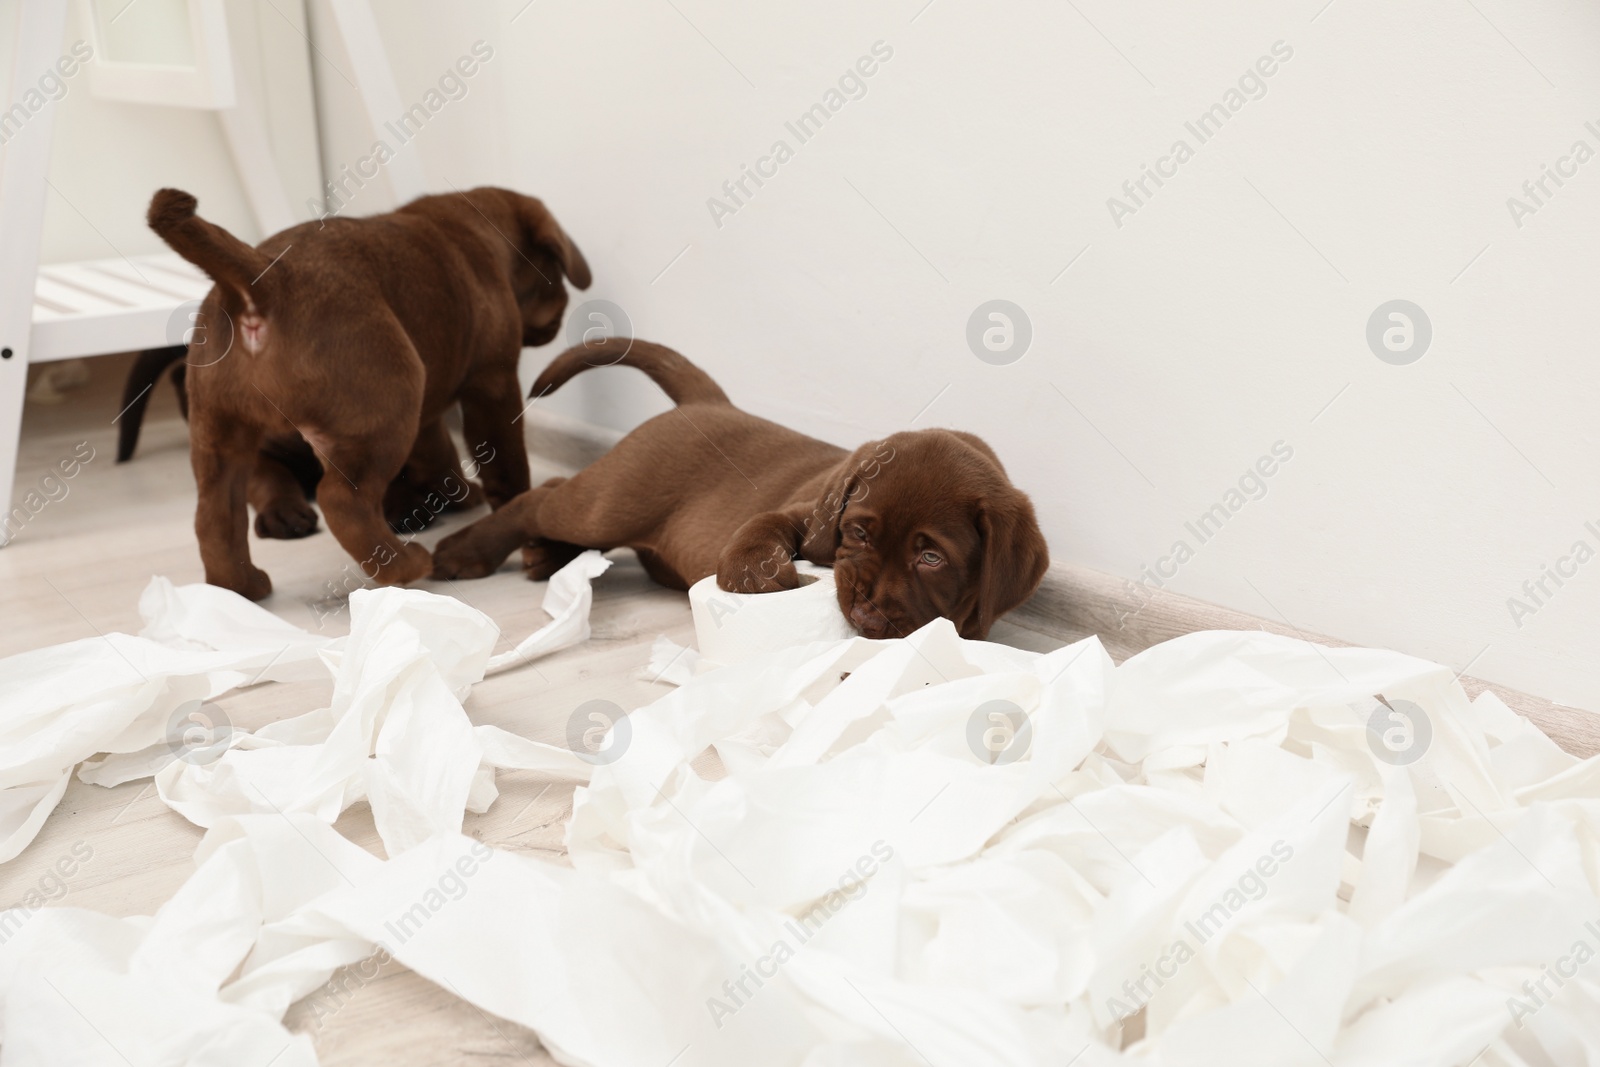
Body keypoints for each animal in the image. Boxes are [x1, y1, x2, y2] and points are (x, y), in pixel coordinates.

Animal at [428, 337, 1049, 639]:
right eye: (856, 533)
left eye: (931, 557)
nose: (867, 617)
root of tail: (710, 402)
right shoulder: (807, 513)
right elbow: (761, 525)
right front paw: (756, 573)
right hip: (610, 500)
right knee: (544, 497)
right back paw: (465, 551)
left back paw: (546, 555)